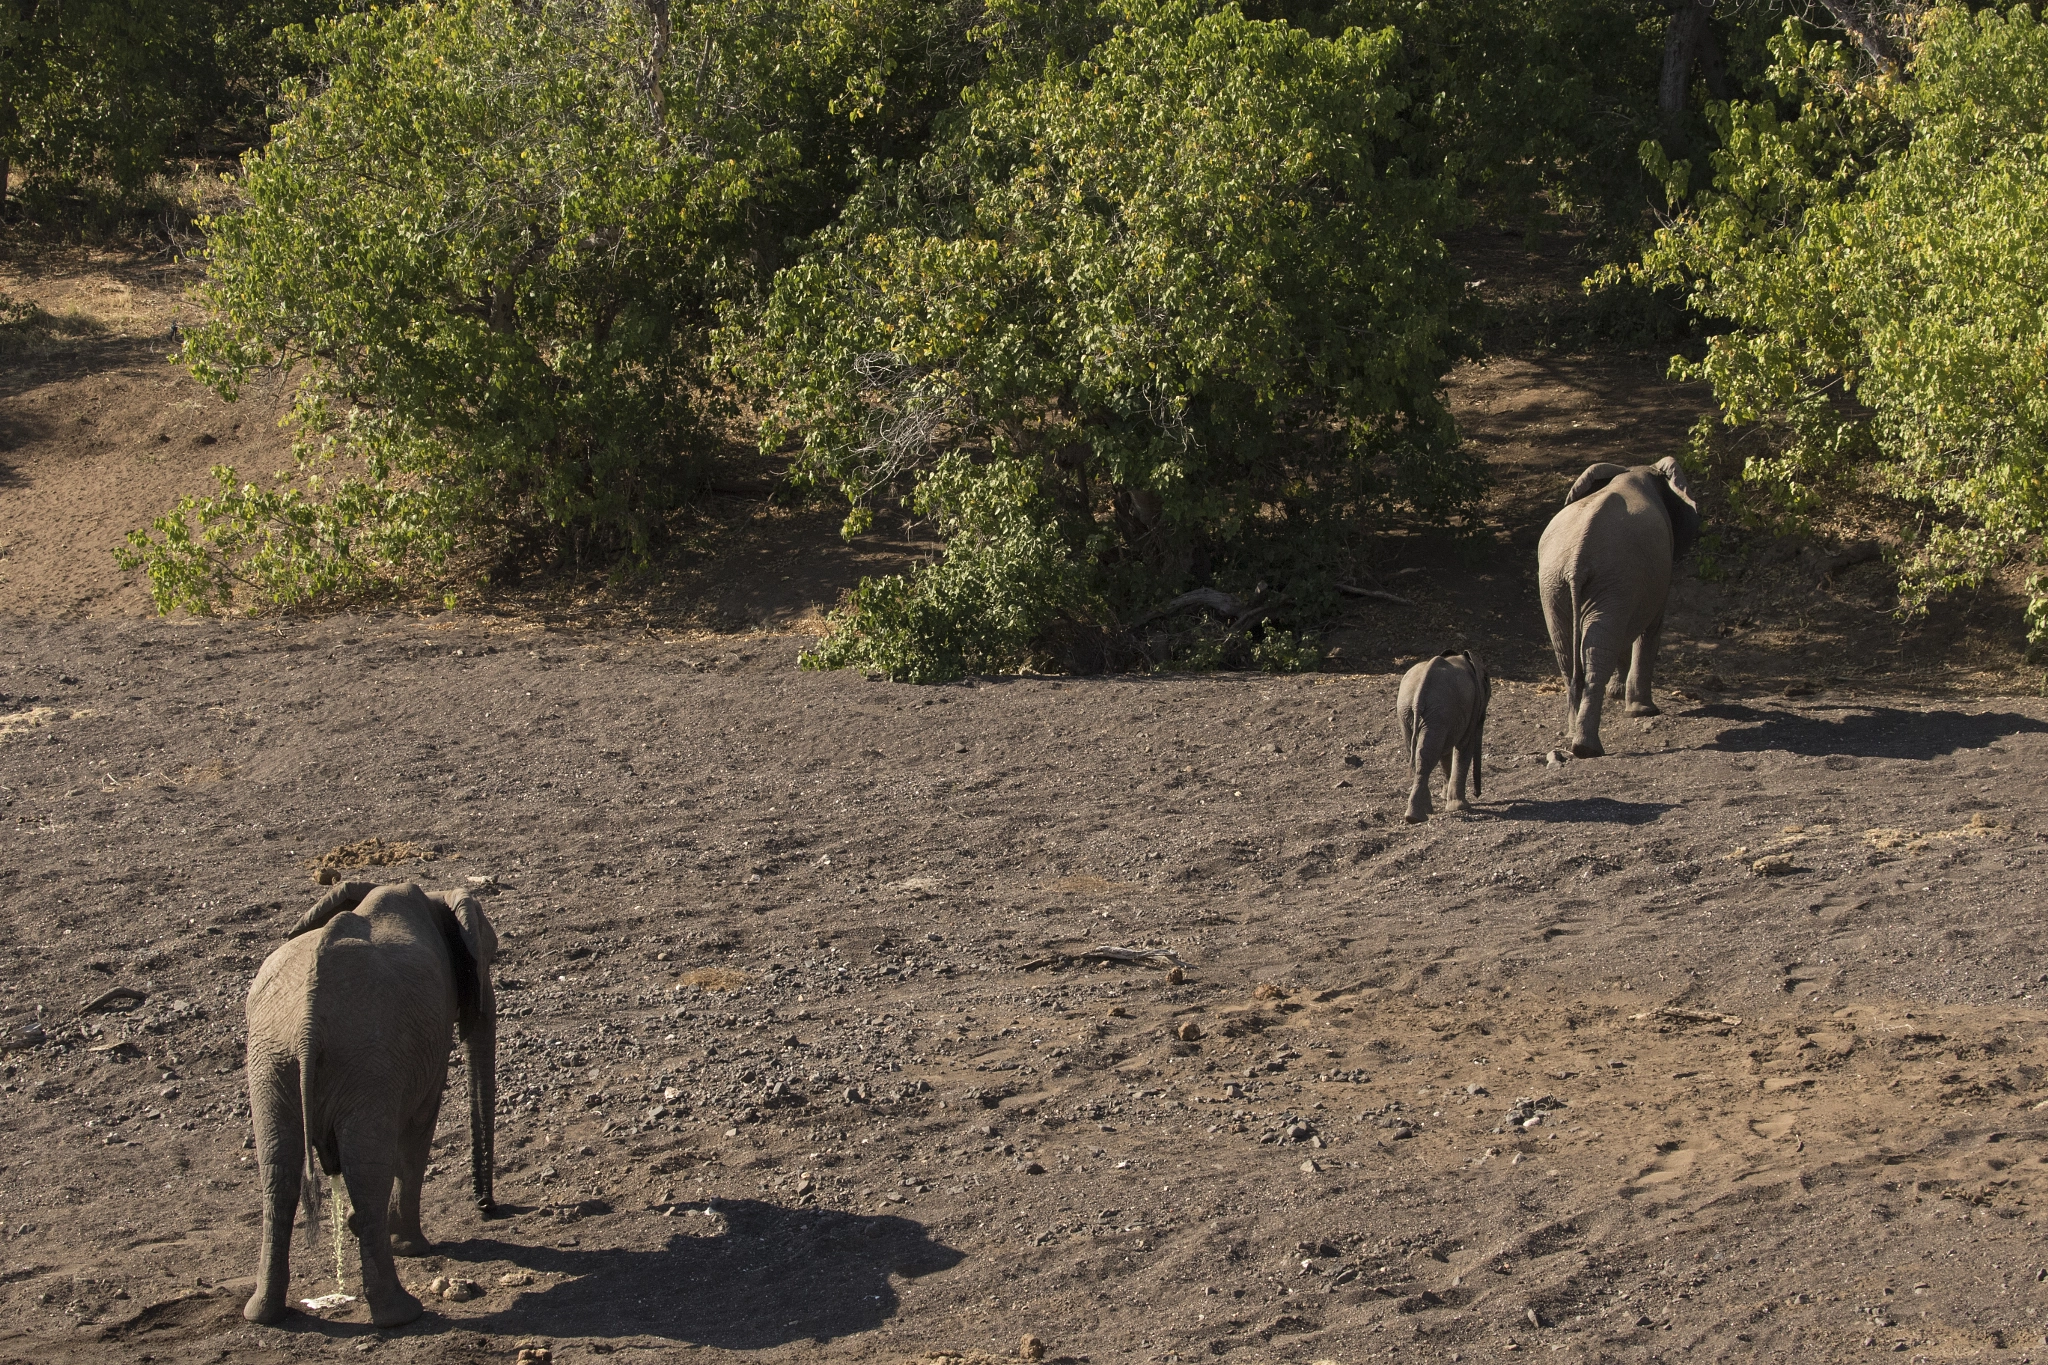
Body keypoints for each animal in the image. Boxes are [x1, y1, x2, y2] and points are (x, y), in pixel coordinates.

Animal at [243, 879, 499, 1326]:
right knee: (367, 1172)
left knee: (279, 1171)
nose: (487, 1207)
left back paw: (264, 1314)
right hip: (364, 1058)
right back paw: (400, 1314)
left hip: (270, 1060)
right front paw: (409, 1246)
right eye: (491, 955)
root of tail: (307, 1025)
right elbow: (418, 1127)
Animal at [1392, 650, 1490, 822]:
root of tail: (1418, 695)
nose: (1477, 794)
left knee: (1419, 753)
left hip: (1407, 711)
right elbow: (1464, 746)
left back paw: (1418, 814)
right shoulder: (1472, 706)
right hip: (1437, 710)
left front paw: (1446, 799)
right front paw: (1460, 807)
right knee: (1427, 754)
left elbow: (1445, 751)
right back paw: (1417, 816)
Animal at [1540, 458, 1695, 757]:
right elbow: (1649, 629)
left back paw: (1574, 736)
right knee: (1597, 650)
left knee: (1568, 651)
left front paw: (1617, 695)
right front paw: (1644, 711)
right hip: (1609, 578)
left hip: (1556, 584)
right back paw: (1588, 748)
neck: (1633, 471)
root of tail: (1577, 560)